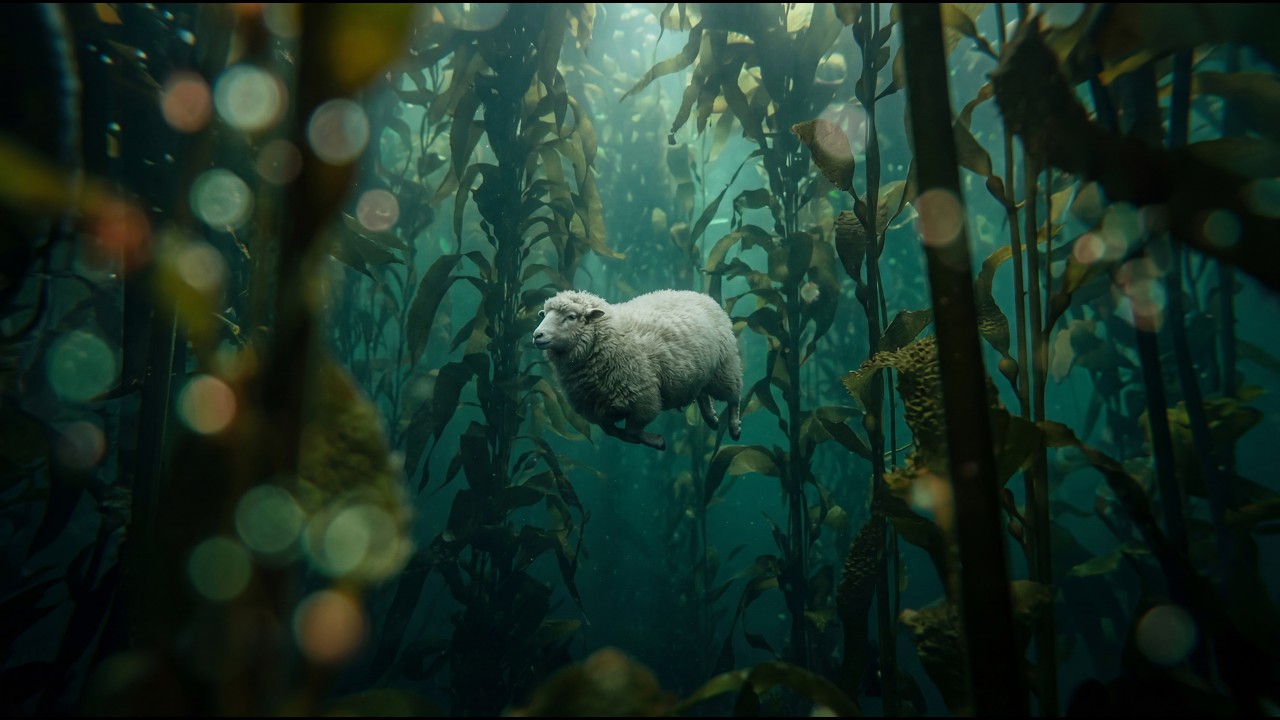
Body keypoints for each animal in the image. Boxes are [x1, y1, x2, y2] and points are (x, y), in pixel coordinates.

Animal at [532, 289, 743, 451]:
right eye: (544, 314)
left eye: (571, 317)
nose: (537, 335)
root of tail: (703, 296)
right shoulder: (600, 410)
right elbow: (615, 432)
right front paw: (651, 441)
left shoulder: (642, 399)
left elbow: (632, 431)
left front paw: (657, 442)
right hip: (698, 373)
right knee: (702, 393)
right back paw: (712, 419)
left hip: (724, 367)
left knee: (733, 397)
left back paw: (734, 428)